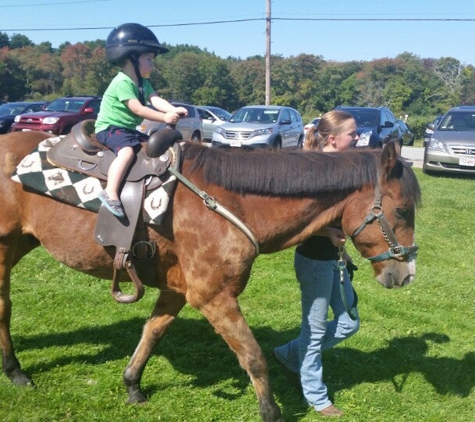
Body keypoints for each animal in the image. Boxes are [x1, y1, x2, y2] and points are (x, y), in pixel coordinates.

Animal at [0, 130, 424, 420]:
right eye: (403, 211)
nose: (405, 273)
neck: (226, 202)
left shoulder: (178, 289)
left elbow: (152, 332)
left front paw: (133, 385)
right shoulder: (214, 297)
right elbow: (253, 357)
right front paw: (271, 412)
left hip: (21, 243)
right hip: (4, 250)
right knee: (4, 309)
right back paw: (15, 371)